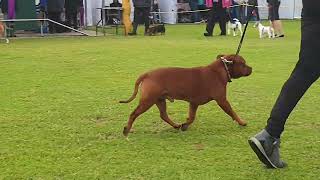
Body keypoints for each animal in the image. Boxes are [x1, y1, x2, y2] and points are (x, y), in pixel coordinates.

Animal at [120, 54, 252, 136]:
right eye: (243, 63)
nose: (251, 68)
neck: (221, 70)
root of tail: (147, 74)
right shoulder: (222, 100)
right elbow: (232, 112)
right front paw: (242, 122)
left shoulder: (194, 103)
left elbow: (192, 117)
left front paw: (185, 125)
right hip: (147, 101)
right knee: (134, 114)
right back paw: (126, 130)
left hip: (160, 100)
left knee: (163, 115)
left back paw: (176, 125)